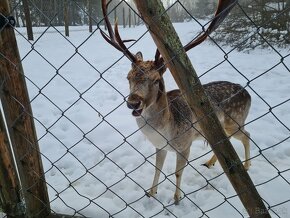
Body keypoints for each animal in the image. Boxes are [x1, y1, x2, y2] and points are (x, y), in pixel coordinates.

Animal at [99, 0, 249, 204]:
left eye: (155, 80)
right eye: (128, 77)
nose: (133, 102)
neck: (165, 132)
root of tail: (248, 94)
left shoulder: (185, 145)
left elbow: (178, 173)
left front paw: (177, 199)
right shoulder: (159, 147)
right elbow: (157, 169)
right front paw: (151, 193)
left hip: (236, 121)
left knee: (247, 135)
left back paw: (246, 166)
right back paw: (210, 163)